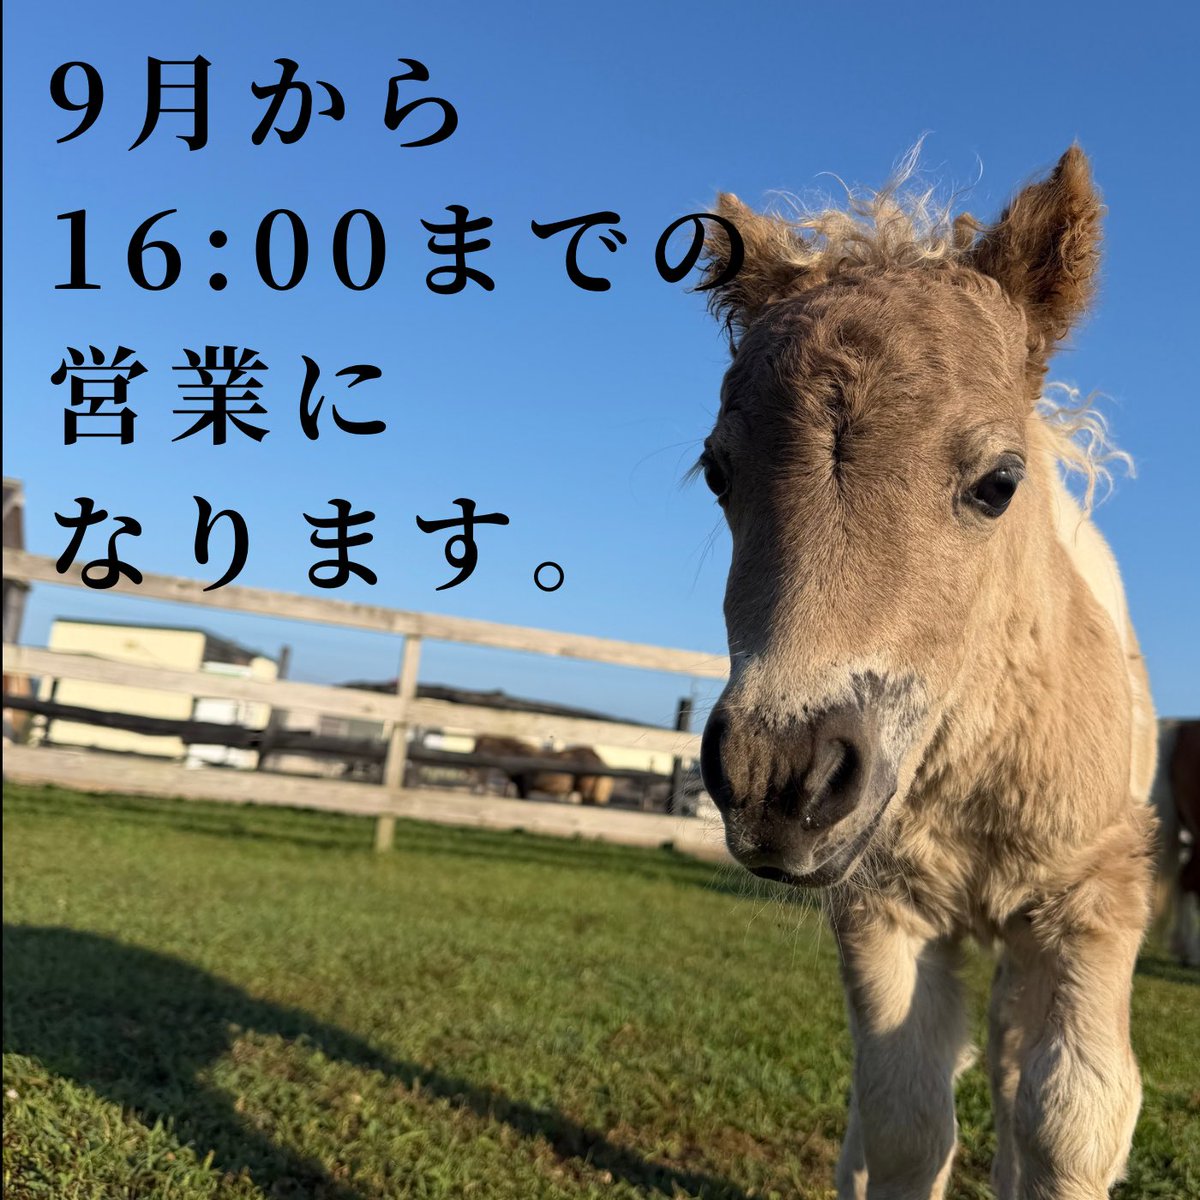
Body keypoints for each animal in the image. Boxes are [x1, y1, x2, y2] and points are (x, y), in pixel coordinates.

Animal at [692, 146, 1158, 1199]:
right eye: (718, 473)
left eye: (998, 482)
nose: (777, 777)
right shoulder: (882, 902)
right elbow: (904, 1115)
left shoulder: (1093, 896)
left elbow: (1075, 1117)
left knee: (1018, 1071)